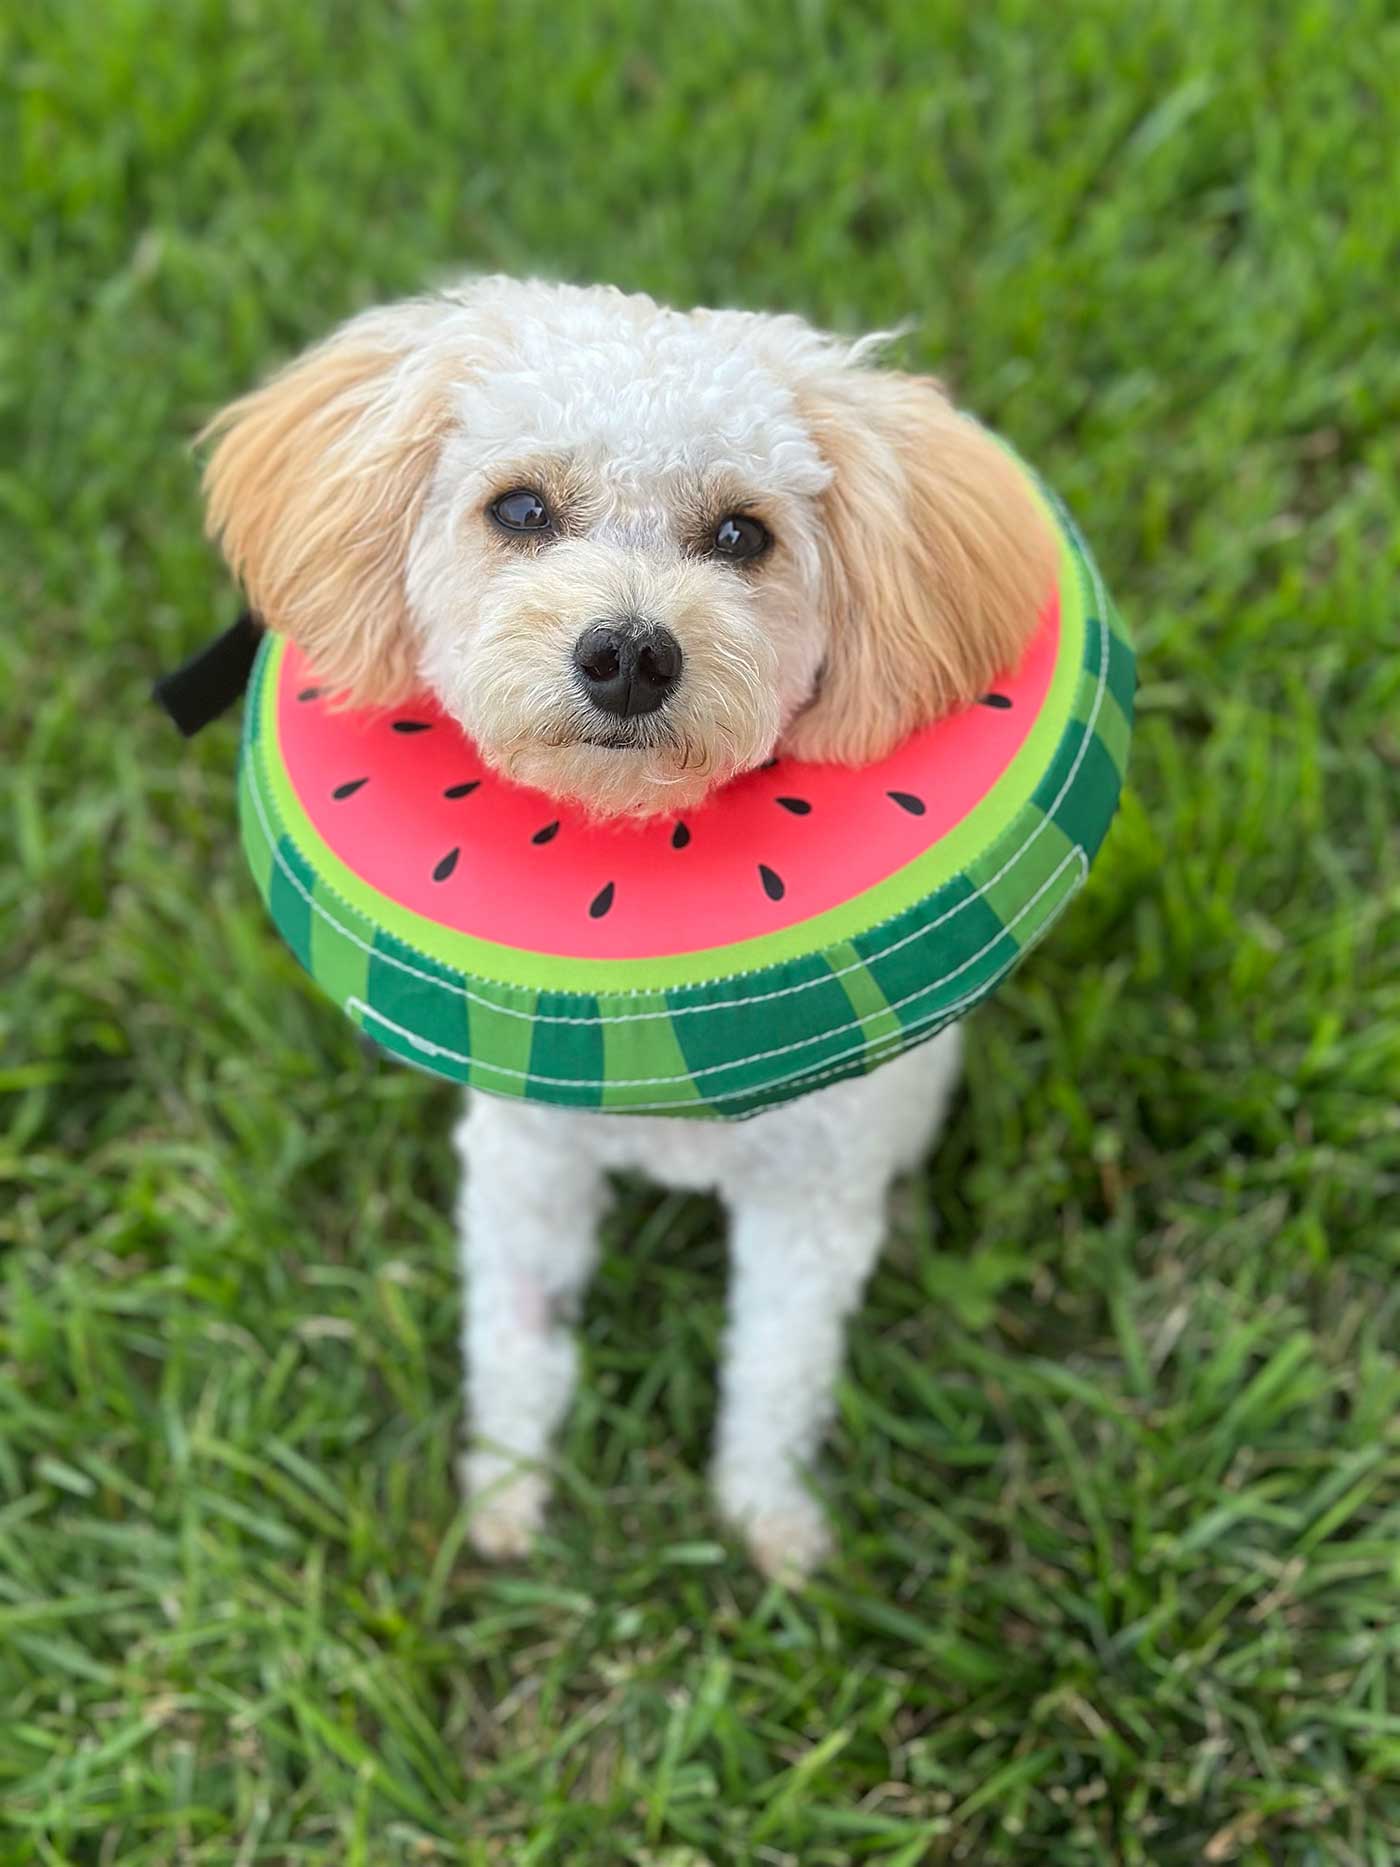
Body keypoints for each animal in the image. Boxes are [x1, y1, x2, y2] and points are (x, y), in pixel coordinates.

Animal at [199, 276, 1052, 1575]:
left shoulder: (805, 1207)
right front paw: (505, 1495)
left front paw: (769, 1521)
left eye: (744, 535)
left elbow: (777, 1370)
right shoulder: (524, 1167)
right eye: (519, 509)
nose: (629, 651)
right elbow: (517, 1338)